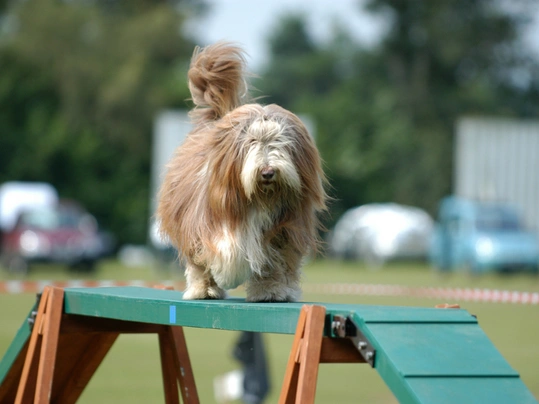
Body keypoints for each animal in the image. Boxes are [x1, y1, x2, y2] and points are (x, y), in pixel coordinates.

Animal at [154, 43, 326, 304]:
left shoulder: (284, 229)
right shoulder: (210, 218)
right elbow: (229, 249)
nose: (268, 172)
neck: (259, 198)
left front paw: (271, 291)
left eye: (280, 142)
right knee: (198, 265)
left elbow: (275, 263)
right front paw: (230, 273)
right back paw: (204, 289)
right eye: (252, 141)